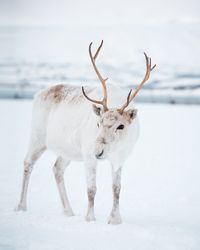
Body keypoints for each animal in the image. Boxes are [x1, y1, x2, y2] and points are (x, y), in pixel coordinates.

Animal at [16, 40, 156, 224]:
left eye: (121, 126)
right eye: (98, 123)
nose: (99, 151)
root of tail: (37, 94)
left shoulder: (120, 158)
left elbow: (116, 188)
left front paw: (115, 219)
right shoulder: (88, 155)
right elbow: (91, 189)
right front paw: (90, 218)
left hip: (68, 150)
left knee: (57, 168)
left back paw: (68, 211)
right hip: (37, 136)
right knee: (27, 163)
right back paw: (21, 206)